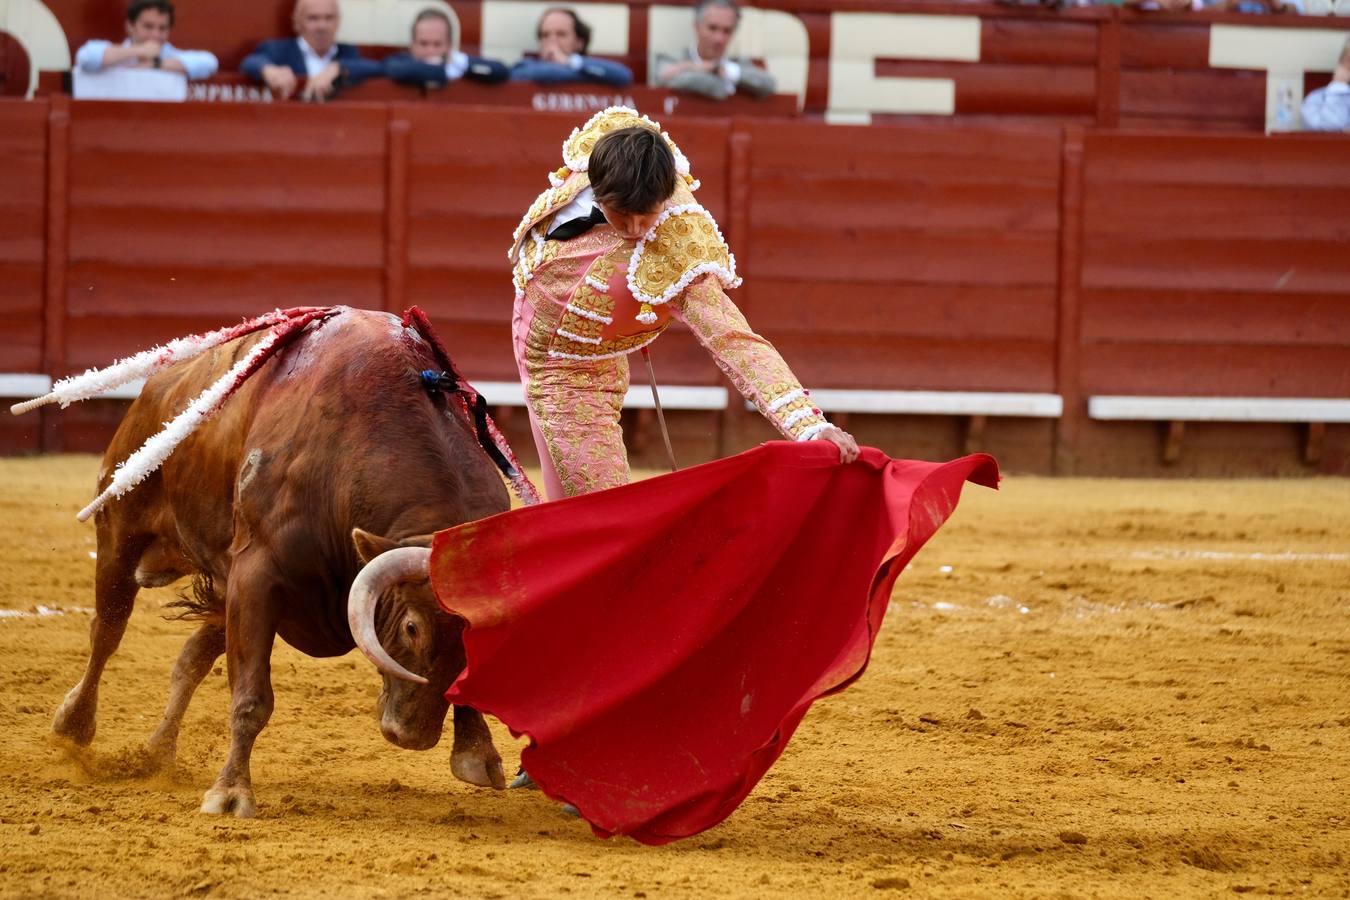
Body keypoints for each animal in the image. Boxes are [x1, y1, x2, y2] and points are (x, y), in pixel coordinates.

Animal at [42, 307, 513, 814]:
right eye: (411, 627)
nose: (412, 736)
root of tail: (160, 385)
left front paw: (477, 753)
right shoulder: (257, 575)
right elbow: (251, 697)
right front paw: (230, 794)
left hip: (219, 579)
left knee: (189, 660)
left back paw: (157, 752)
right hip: (119, 530)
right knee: (107, 631)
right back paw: (74, 725)